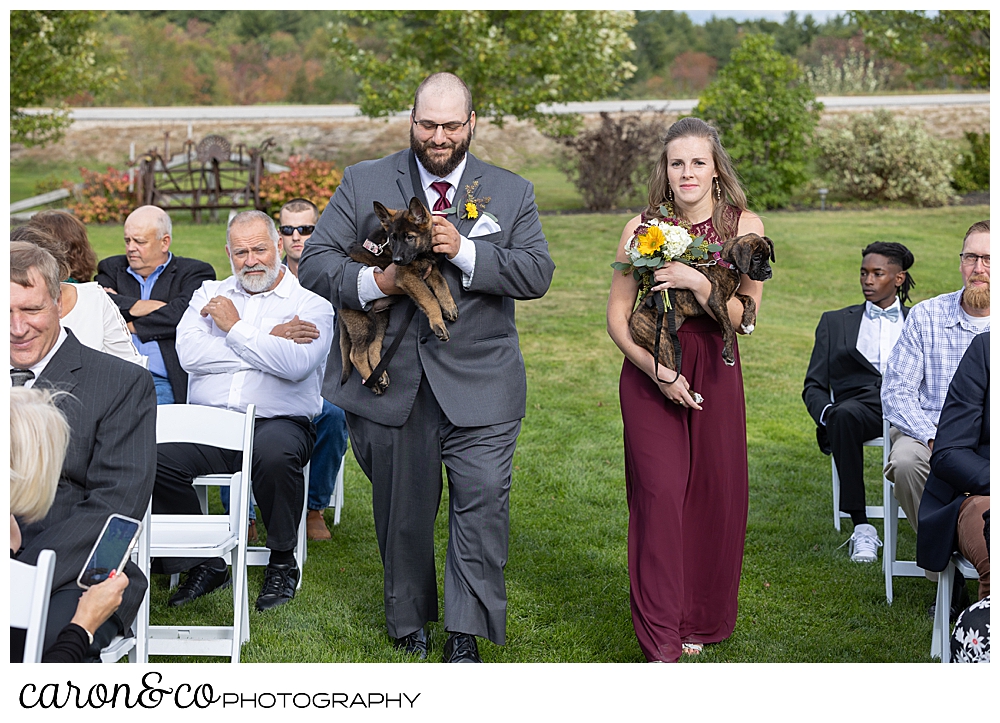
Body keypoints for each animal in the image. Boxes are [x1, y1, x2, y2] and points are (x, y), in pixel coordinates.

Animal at [338, 195, 458, 394]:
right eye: (392, 239)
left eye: (409, 237)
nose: (396, 260)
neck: (420, 253)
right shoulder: (407, 276)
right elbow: (429, 298)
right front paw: (438, 324)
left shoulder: (429, 269)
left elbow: (441, 284)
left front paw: (449, 306)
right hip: (364, 323)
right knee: (356, 355)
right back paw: (373, 382)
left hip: (381, 319)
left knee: (373, 347)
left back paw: (380, 377)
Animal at [628, 232, 776, 374]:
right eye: (756, 258)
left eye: (768, 257)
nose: (769, 272)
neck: (724, 261)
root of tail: (632, 323)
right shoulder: (717, 300)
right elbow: (728, 326)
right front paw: (728, 355)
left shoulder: (731, 296)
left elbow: (750, 299)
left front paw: (748, 323)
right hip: (663, 344)